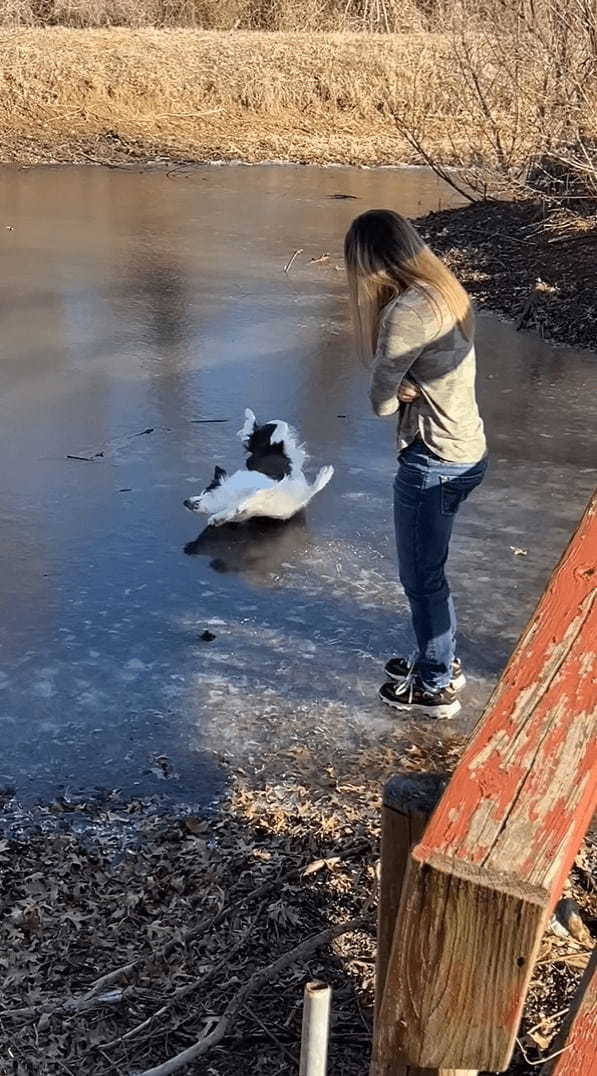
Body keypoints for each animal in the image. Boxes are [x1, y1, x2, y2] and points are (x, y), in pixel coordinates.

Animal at [185, 406, 333, 525]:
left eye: (205, 491)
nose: (185, 502)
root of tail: (267, 449)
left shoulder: (274, 485)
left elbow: (314, 487)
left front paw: (326, 473)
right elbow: (235, 508)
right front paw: (218, 517)